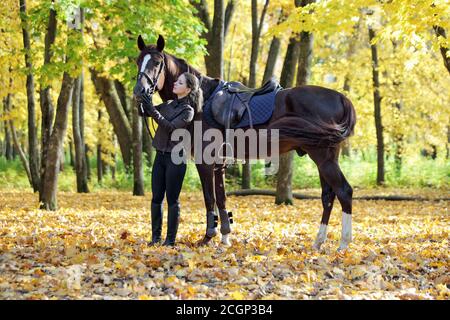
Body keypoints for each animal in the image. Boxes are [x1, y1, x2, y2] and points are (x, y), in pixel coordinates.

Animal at [132, 35, 356, 252]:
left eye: (157, 62)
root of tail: (340, 98)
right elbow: (221, 199)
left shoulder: (204, 163)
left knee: (344, 191)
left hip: (323, 158)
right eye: (137, 61)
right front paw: (225, 238)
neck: (201, 102)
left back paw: (343, 244)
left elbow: (209, 198)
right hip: (324, 158)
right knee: (328, 197)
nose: (139, 91)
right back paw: (319, 242)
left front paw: (208, 238)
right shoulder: (219, 164)